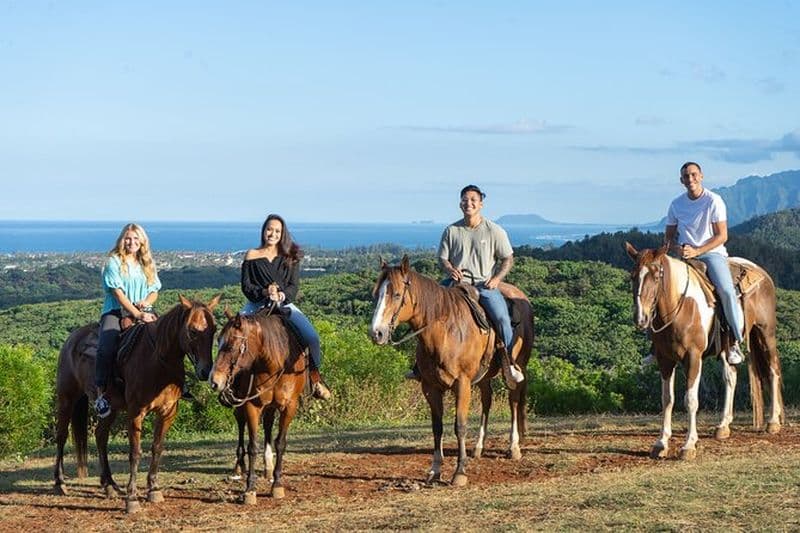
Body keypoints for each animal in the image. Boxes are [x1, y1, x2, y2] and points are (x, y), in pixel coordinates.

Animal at [53, 294, 220, 513]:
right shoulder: (135, 412)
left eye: (214, 329)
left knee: (100, 436)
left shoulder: (168, 411)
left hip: (111, 408)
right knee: (61, 436)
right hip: (67, 399)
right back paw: (60, 483)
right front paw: (132, 498)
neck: (157, 360)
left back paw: (109, 485)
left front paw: (154, 489)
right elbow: (135, 453)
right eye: (192, 330)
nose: (205, 371)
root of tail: (71, 340)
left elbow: (157, 447)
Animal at [208, 309, 306, 504]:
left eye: (230, 346)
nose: (214, 381)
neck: (274, 364)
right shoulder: (252, 406)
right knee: (241, 424)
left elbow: (280, 443)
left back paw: (268, 466)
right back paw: (239, 466)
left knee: (268, 423)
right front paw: (250, 489)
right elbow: (252, 446)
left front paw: (277, 484)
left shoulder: (289, 406)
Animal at [369, 256, 534, 487]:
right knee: (487, 400)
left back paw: (514, 447)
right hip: (484, 375)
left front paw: (460, 472)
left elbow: (460, 426)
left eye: (397, 294)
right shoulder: (430, 387)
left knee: (514, 401)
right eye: (376, 294)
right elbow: (437, 427)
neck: (445, 332)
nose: (376, 333)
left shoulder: (462, 384)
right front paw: (435, 470)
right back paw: (479, 447)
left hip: (518, 366)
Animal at [625, 243, 784, 460]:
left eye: (656, 276)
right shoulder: (665, 360)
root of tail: (763, 273)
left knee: (773, 370)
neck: (681, 305)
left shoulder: (693, 357)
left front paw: (688, 445)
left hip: (766, 333)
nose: (641, 318)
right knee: (731, 376)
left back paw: (773, 422)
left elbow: (690, 400)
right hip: (726, 347)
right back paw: (723, 426)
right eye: (633, 276)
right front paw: (661, 443)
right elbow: (667, 399)